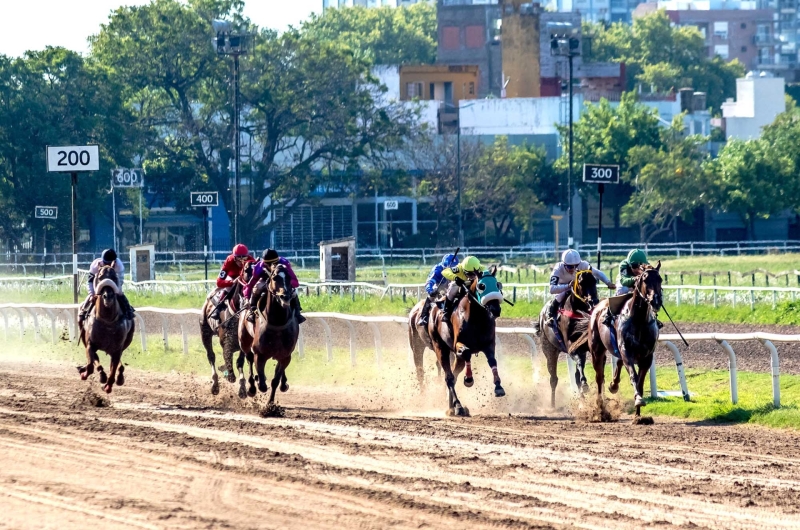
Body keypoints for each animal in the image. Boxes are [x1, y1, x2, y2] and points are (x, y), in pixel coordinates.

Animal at [77, 264, 135, 392]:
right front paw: (85, 373)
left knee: (118, 365)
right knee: (95, 360)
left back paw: (119, 376)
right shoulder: (90, 344)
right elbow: (90, 365)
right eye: (100, 277)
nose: (108, 296)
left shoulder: (117, 349)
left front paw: (109, 385)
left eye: (114, 277)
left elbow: (113, 369)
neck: (107, 321)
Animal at [239, 262, 302, 410]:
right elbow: (262, 383)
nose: (285, 296)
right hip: (244, 341)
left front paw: (271, 404)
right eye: (274, 278)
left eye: (289, 278)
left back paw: (283, 383)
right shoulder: (260, 354)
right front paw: (258, 382)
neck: (278, 322)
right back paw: (252, 386)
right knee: (249, 358)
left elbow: (275, 381)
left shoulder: (285, 356)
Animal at [410, 266, 504, 414]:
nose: (495, 309)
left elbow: (492, 361)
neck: (477, 318)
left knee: (453, 375)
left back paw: (451, 406)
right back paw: (457, 406)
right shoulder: (457, 345)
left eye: (497, 284)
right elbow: (466, 353)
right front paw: (469, 379)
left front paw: (498, 387)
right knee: (445, 376)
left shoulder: (488, 344)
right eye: (481, 286)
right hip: (431, 347)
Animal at [536, 270, 596, 406]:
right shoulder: (571, 347)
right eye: (581, 282)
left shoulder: (584, 347)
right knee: (553, 379)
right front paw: (585, 385)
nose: (593, 301)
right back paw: (552, 405)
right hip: (549, 351)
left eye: (595, 280)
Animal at [588, 260, 664, 416]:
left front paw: (638, 414)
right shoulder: (627, 351)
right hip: (596, 350)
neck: (639, 320)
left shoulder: (647, 356)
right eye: (645, 279)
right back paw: (601, 407)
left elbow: (640, 382)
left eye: (660, 279)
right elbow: (633, 376)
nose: (657, 301)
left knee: (617, 364)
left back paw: (613, 385)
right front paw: (638, 400)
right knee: (599, 377)